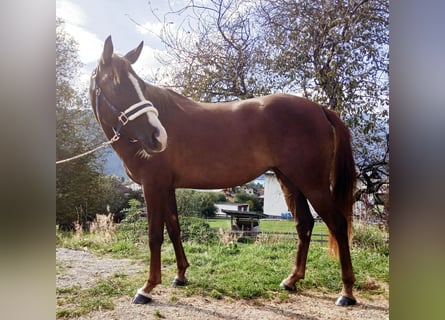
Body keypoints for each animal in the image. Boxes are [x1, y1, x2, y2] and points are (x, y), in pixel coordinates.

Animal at [90, 36, 358, 306]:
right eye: (118, 85)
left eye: (139, 85)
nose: (158, 136)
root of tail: (320, 109)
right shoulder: (166, 187)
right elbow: (174, 228)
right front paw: (180, 275)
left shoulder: (152, 185)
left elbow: (155, 235)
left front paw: (147, 288)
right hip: (290, 182)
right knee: (304, 224)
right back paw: (291, 280)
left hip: (313, 184)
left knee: (337, 223)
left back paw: (346, 292)